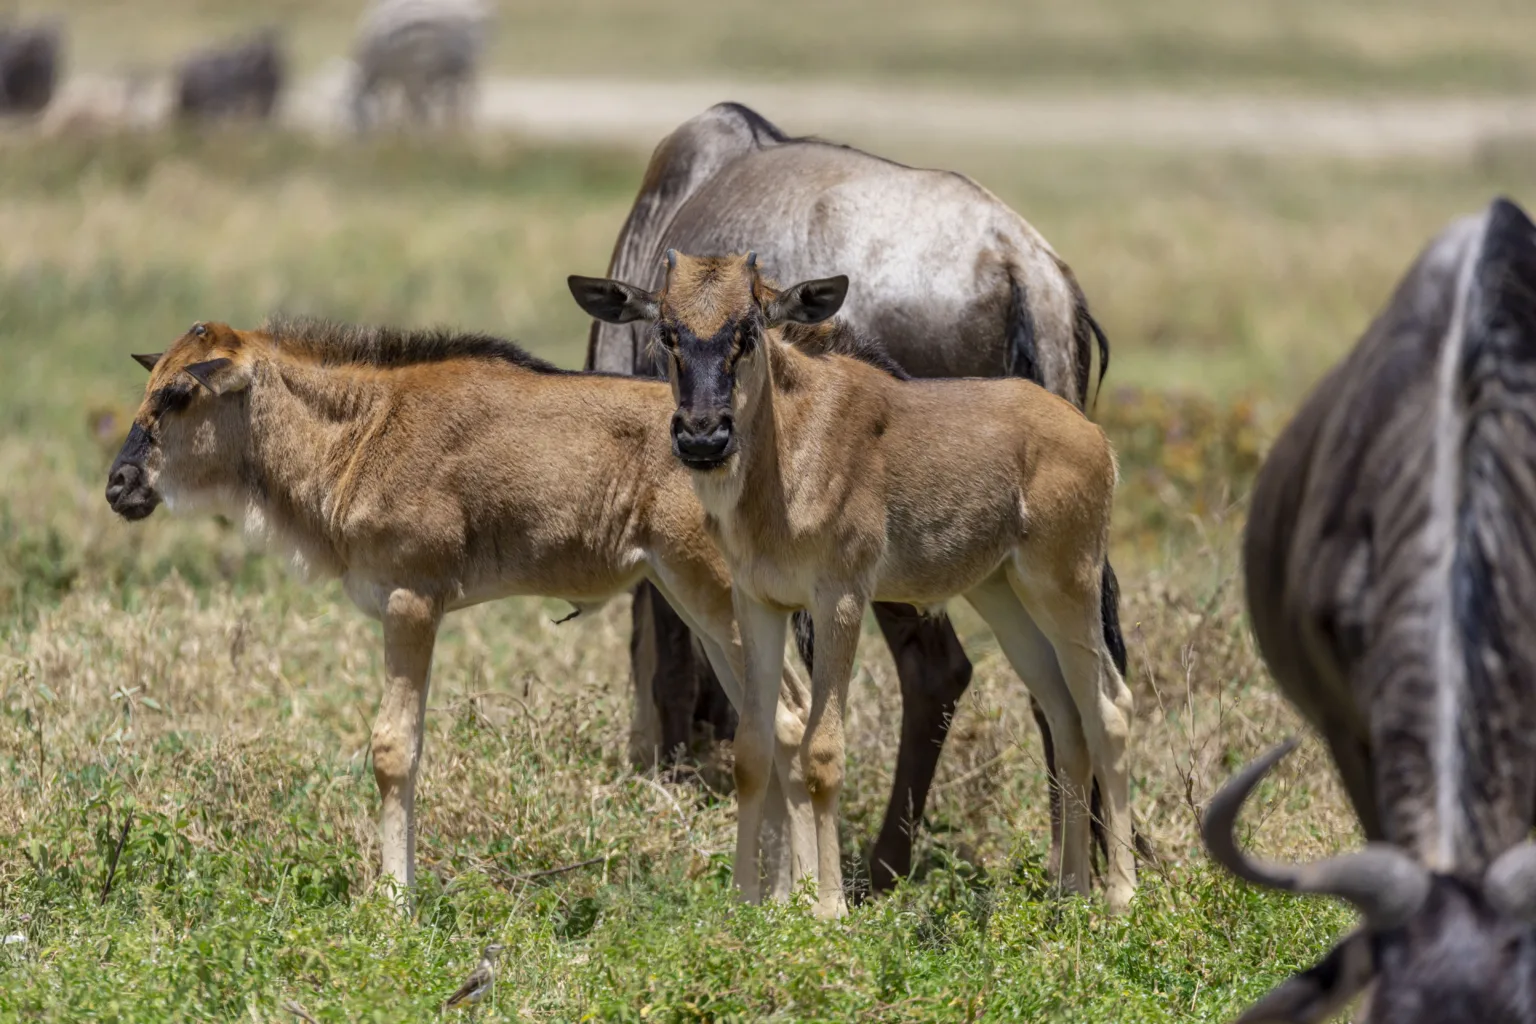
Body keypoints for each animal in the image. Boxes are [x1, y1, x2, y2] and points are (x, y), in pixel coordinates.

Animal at [104, 317, 821, 903]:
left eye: (178, 395)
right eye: (152, 386)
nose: (119, 485)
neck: (361, 428)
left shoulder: (412, 601)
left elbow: (394, 750)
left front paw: (394, 905)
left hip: (718, 594)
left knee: (791, 716)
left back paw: (803, 906)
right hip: (703, 603)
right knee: (768, 723)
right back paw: (774, 901)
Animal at [586, 101, 1122, 893]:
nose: (655, 761)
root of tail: (1022, 266)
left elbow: (680, 658)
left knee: (943, 669)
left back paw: (886, 866)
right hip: (1021, 544)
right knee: (1071, 672)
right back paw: (1084, 866)